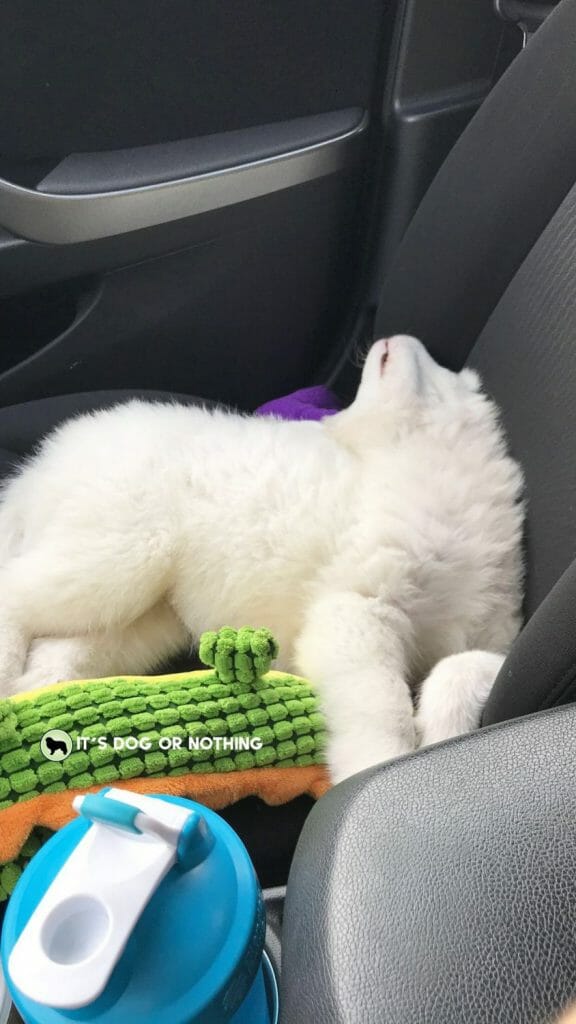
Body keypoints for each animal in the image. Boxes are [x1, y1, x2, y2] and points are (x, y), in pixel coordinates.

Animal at [0, 339, 522, 778]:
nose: (386, 338)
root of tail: (41, 465)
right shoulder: (355, 610)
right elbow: (381, 706)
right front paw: (378, 770)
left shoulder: (492, 634)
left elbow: (461, 666)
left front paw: (443, 731)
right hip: (119, 555)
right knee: (13, 594)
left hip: (144, 615)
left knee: (57, 653)